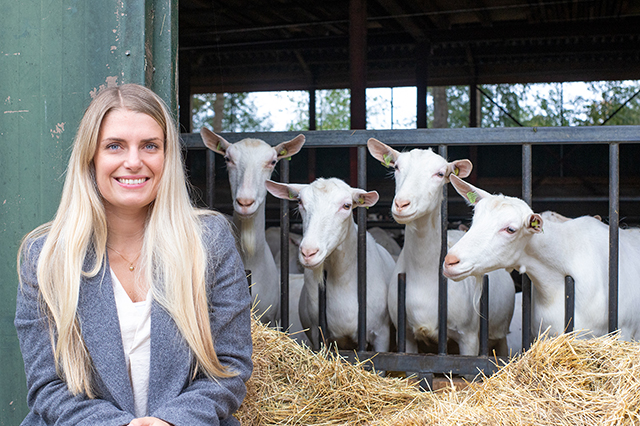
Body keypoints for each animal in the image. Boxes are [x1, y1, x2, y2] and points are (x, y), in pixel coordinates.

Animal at [368, 140, 512, 356]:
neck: (425, 276)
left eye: (440, 173)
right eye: (397, 167)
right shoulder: (406, 335)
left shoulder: (469, 336)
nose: (402, 204)